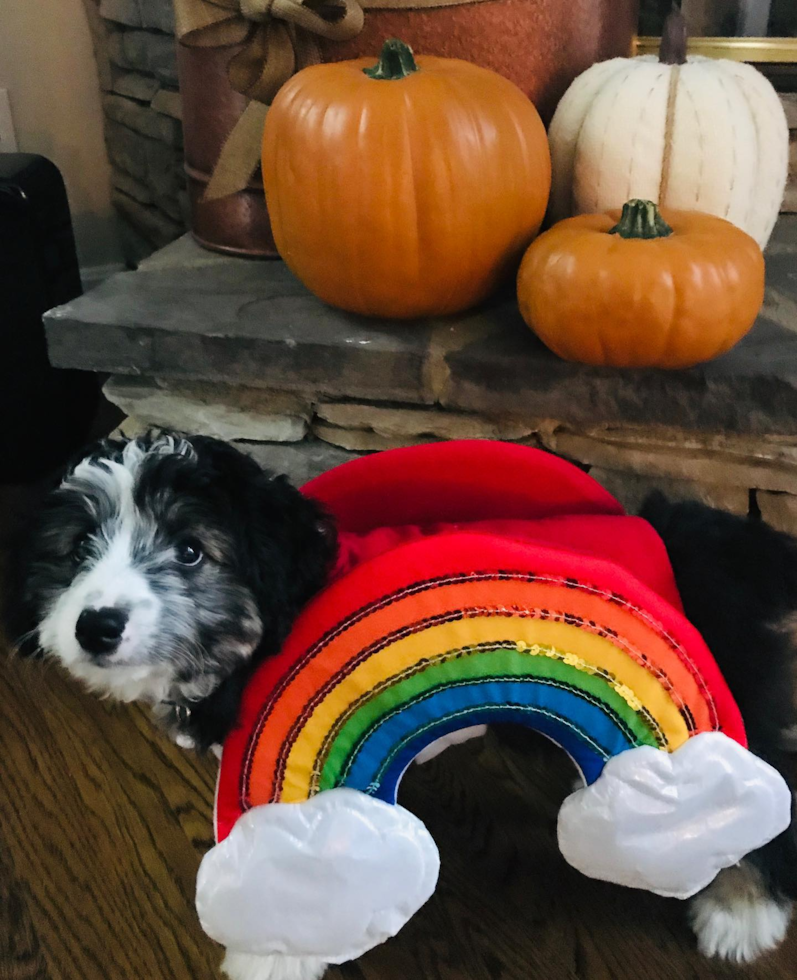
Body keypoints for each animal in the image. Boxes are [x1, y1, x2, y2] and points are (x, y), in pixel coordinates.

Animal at [9, 432, 796, 976]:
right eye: (77, 549)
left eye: (192, 551)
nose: (96, 625)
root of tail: (684, 531)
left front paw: (270, 954)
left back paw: (741, 911)